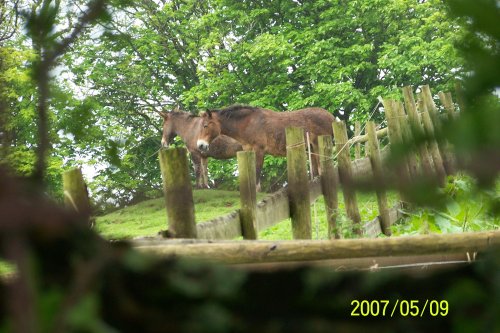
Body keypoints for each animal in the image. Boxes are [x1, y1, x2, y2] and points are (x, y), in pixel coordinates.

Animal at [196, 104, 336, 187]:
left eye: (205, 125)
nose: (200, 145)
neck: (248, 123)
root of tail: (331, 117)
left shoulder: (259, 150)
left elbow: (257, 175)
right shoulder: (248, 151)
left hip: (318, 146)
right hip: (311, 148)